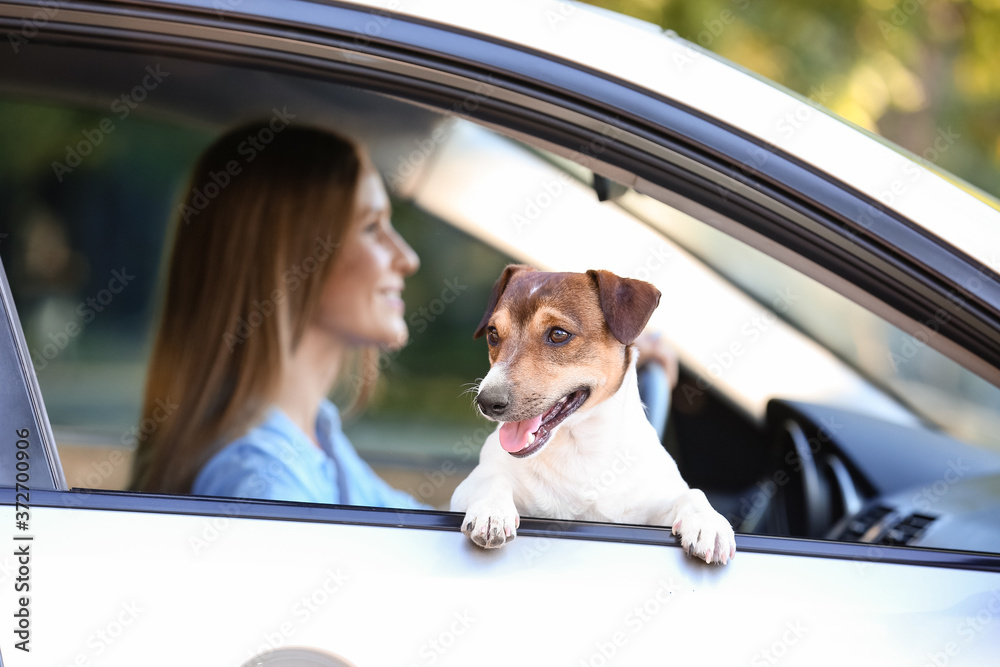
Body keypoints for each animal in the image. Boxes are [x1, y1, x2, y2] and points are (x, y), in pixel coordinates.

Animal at [452, 266, 736, 564]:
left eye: (558, 334)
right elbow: (491, 480)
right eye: (493, 334)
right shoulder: (464, 490)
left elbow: (693, 494)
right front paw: (491, 510)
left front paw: (709, 524)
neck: (578, 447)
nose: (486, 401)